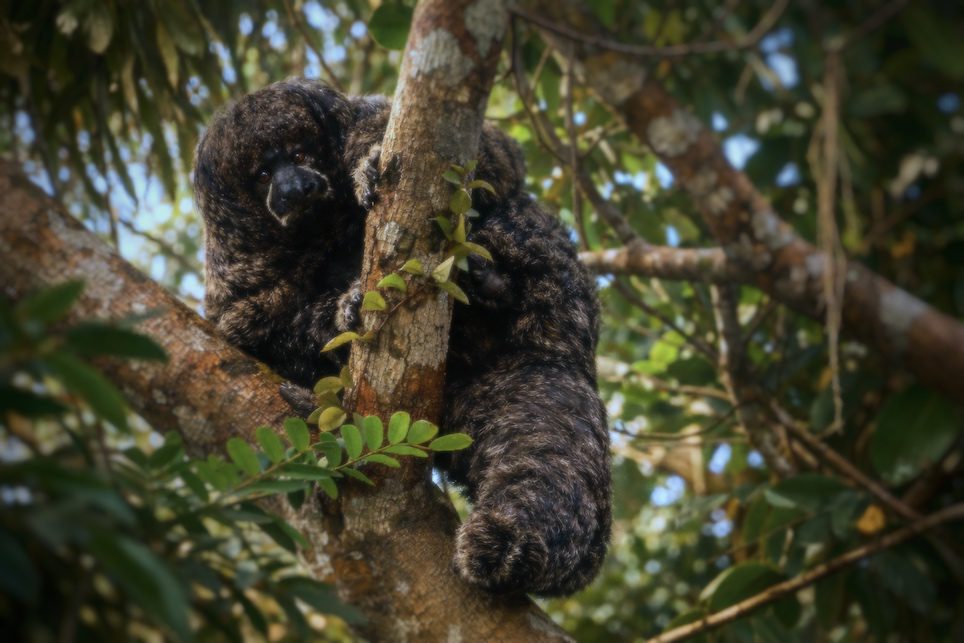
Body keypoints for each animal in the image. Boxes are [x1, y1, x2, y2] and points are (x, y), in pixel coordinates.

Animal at [194, 78, 611, 596]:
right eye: (264, 173)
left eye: (298, 153)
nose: (292, 186)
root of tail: (566, 351)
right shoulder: (232, 272)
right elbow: (248, 329)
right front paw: (343, 313)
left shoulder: (363, 120)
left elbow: (499, 158)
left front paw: (368, 164)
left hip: (559, 303)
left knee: (520, 224)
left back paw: (491, 283)